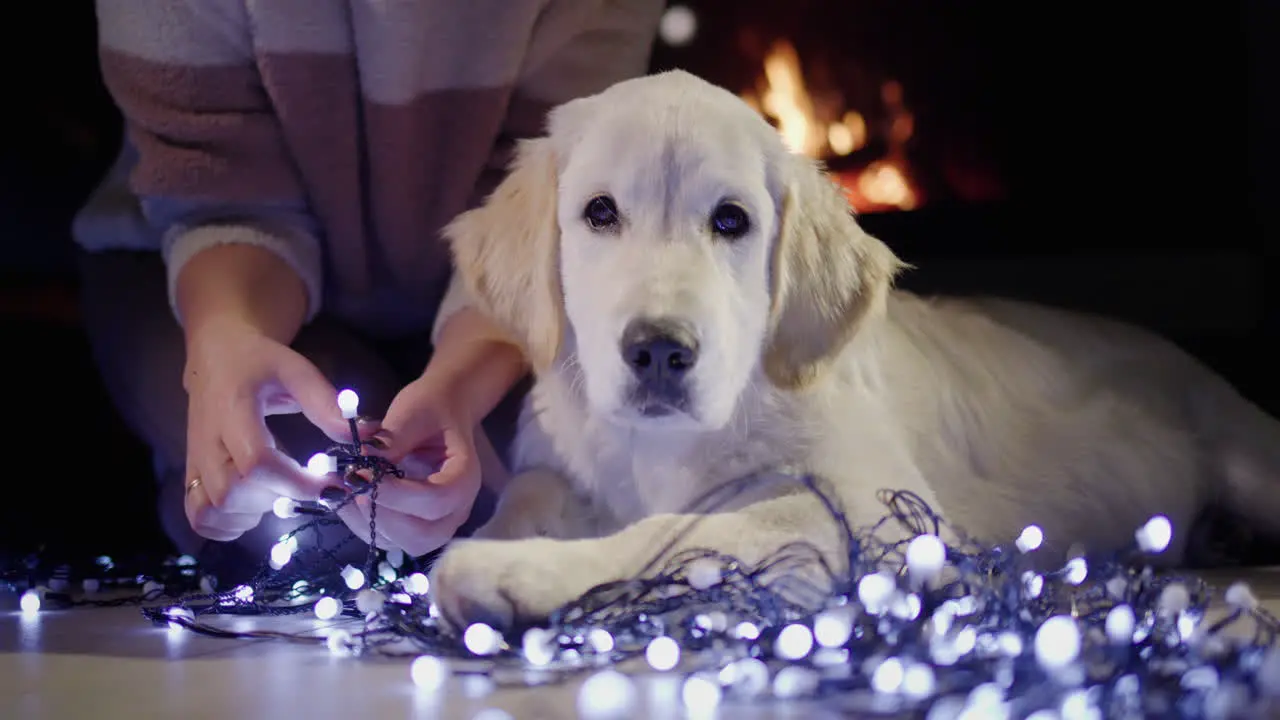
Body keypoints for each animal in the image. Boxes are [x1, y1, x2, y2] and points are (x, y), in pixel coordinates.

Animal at [427, 70, 1280, 625]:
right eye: (599, 213)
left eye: (731, 221)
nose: (660, 352)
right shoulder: (559, 461)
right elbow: (529, 488)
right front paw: (501, 537)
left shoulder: (876, 511)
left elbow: (686, 527)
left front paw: (515, 571)